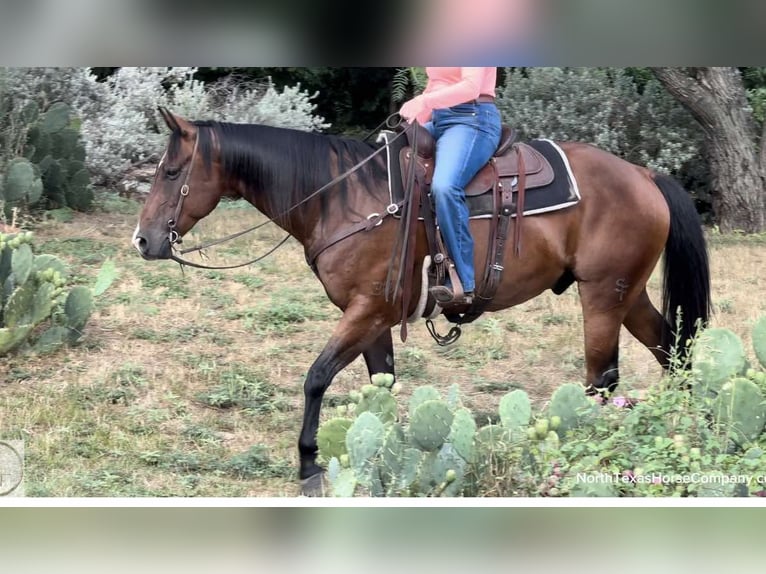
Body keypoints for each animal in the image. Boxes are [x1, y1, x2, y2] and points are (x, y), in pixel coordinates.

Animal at [133, 107, 711, 495]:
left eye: (169, 172)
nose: (142, 240)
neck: (340, 197)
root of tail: (643, 174)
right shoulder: (375, 318)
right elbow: (381, 388)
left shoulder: (367, 310)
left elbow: (316, 378)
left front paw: (309, 466)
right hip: (629, 295)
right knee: (671, 352)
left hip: (604, 295)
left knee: (602, 379)